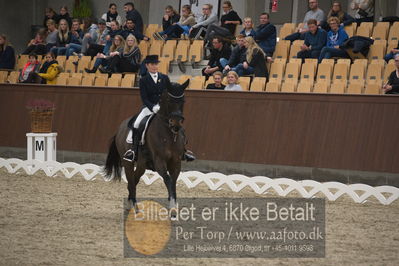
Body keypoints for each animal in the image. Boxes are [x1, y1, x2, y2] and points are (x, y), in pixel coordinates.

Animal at [104, 80, 190, 211]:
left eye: (183, 101)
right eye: (169, 100)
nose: (176, 125)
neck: (169, 135)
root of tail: (120, 128)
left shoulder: (176, 162)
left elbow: (173, 182)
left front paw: (173, 206)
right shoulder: (159, 161)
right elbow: (168, 180)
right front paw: (172, 208)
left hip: (142, 165)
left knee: (134, 180)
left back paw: (130, 204)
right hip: (128, 162)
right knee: (131, 181)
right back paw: (135, 208)